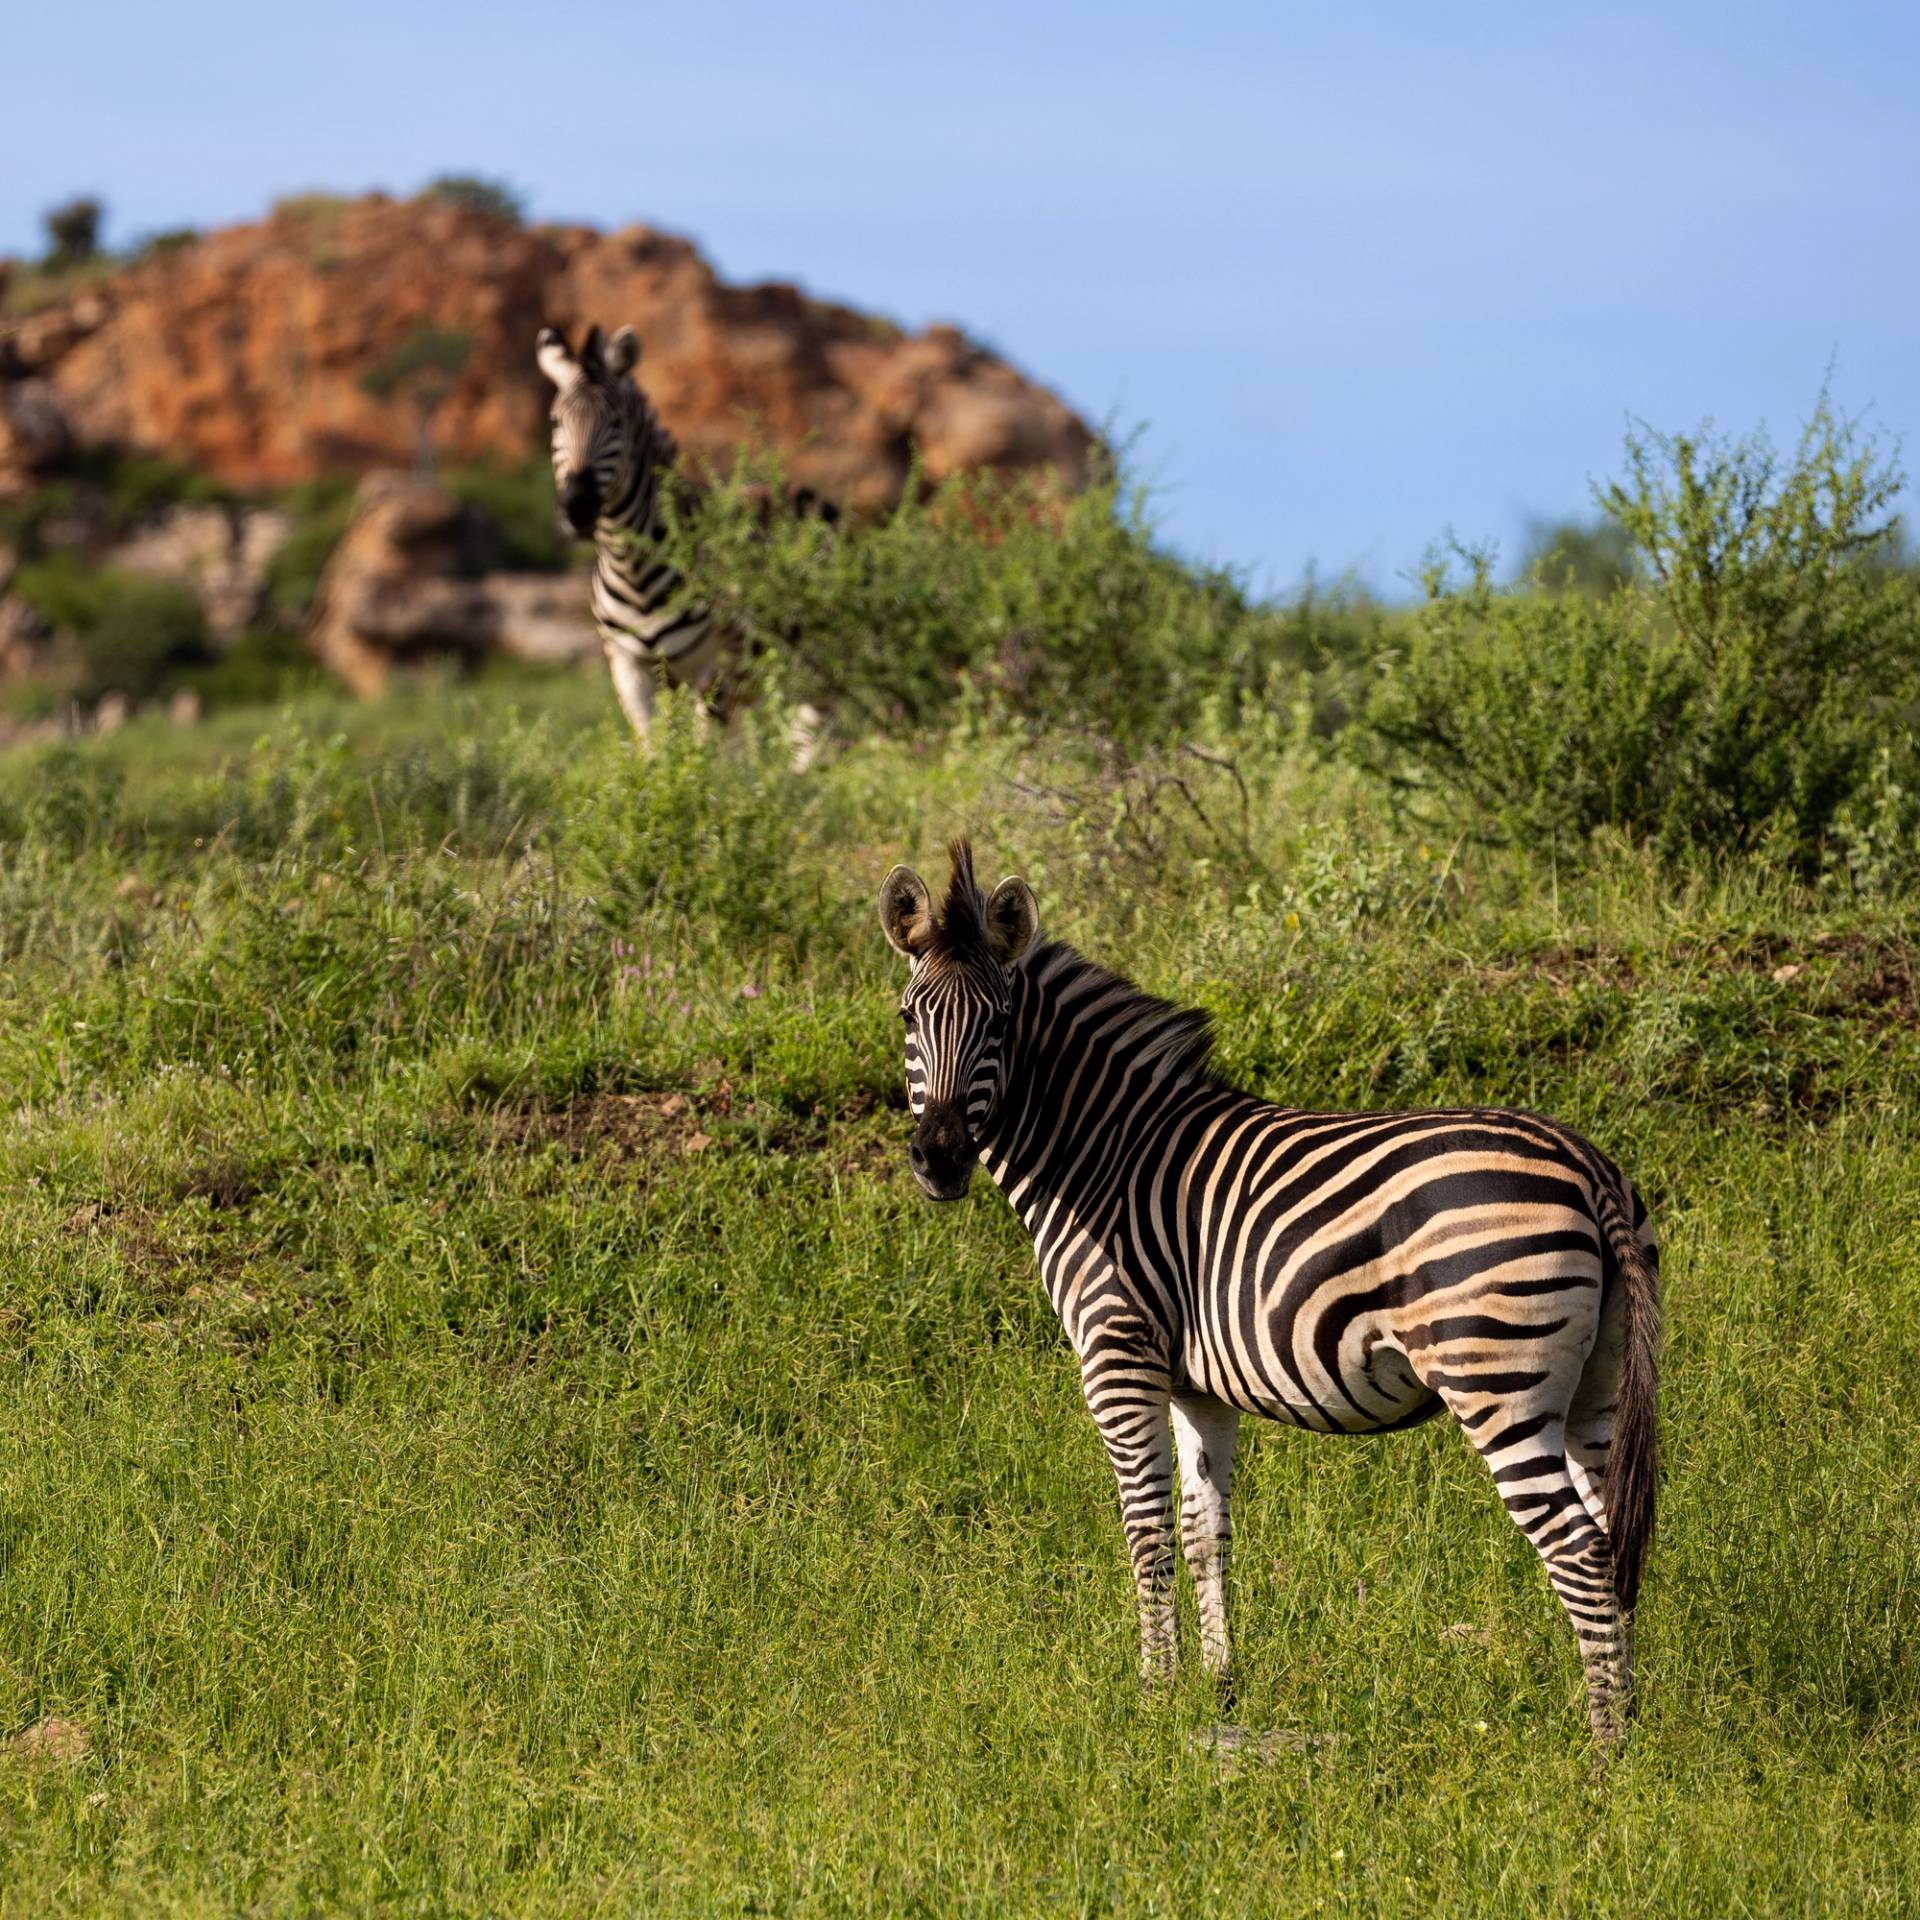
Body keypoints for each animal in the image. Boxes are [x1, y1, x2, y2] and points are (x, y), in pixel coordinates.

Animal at [534, 322, 833, 753]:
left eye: (617, 423)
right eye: (556, 423)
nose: (577, 508)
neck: (632, 566)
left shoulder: (718, 667)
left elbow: (705, 754)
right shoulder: (629, 668)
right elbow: (655, 751)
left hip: (818, 655)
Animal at [878, 841, 1660, 1745]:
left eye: (1000, 1024)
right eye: (909, 1017)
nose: (938, 1159)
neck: (1100, 1155)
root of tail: (1586, 1163)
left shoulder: (1116, 1355)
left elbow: (1145, 1531)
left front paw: (1152, 1697)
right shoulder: (1196, 1386)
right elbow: (1204, 1531)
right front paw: (1217, 1688)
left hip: (1495, 1375)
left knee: (1577, 1549)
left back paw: (1604, 1749)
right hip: (1595, 1387)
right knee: (1612, 1535)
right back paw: (1633, 1729)